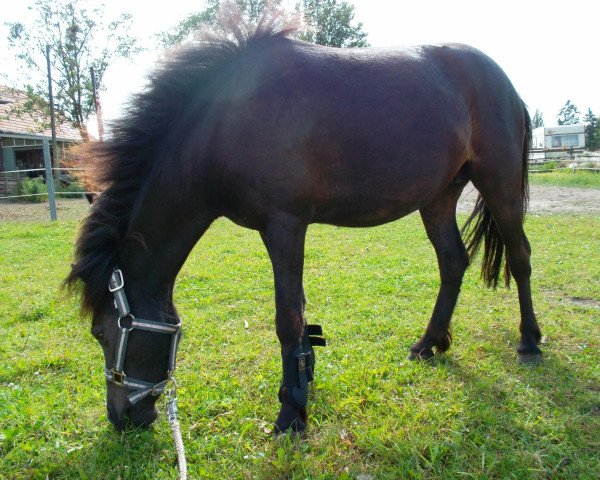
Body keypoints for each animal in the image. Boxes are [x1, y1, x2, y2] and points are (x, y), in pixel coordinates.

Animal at [64, 9, 540, 434]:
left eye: (102, 333)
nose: (121, 418)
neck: (228, 120)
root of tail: (506, 84)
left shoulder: (285, 226)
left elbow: (288, 320)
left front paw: (291, 414)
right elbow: (300, 316)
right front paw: (302, 392)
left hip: (498, 184)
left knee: (520, 257)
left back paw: (529, 342)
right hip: (438, 199)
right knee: (453, 262)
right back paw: (430, 343)